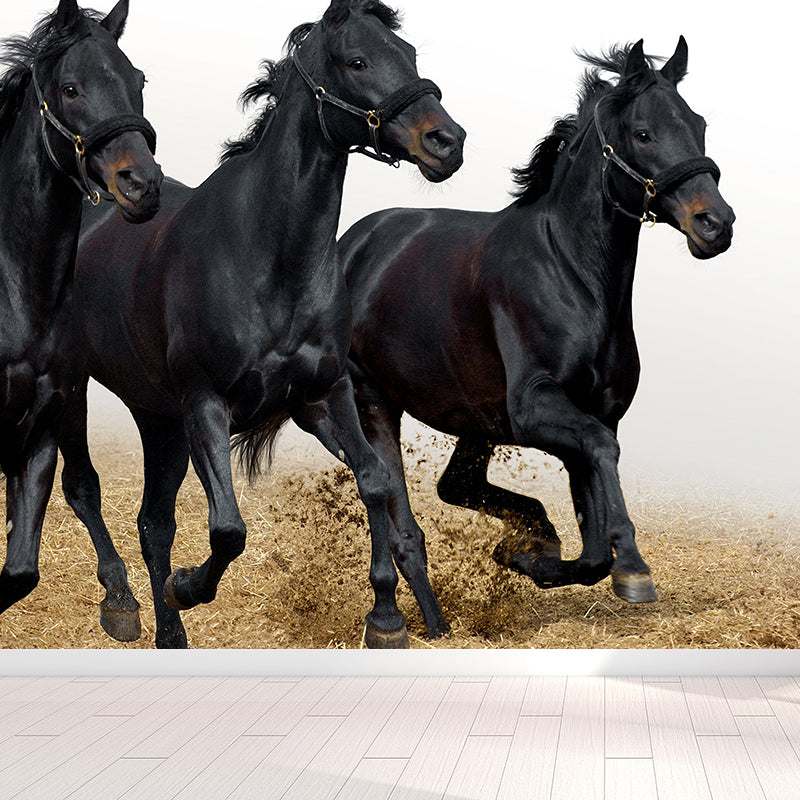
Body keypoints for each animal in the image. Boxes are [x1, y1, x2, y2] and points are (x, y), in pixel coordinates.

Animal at [65, 0, 465, 647]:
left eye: (408, 55)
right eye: (357, 60)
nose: (447, 142)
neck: (269, 258)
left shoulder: (323, 393)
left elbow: (375, 479)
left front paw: (385, 617)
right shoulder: (206, 405)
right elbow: (228, 528)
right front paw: (187, 585)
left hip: (157, 416)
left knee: (153, 522)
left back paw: (169, 634)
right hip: (76, 388)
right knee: (85, 489)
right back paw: (122, 604)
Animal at [338, 38, 735, 640]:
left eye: (699, 124)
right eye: (643, 133)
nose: (716, 223)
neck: (572, 275)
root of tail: (349, 247)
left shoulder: (594, 413)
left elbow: (593, 545)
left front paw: (528, 555)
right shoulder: (536, 410)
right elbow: (601, 462)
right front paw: (633, 569)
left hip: (473, 420)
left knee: (455, 486)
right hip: (374, 401)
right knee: (402, 524)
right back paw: (417, 627)